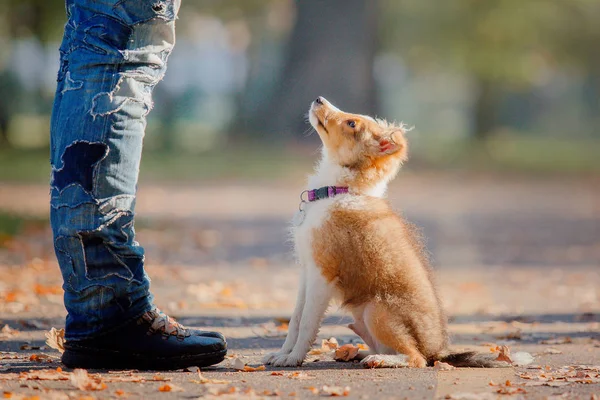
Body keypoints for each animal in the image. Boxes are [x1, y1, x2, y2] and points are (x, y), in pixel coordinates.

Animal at [264, 97, 504, 368]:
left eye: (352, 123)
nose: (319, 99)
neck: (340, 190)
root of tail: (438, 352)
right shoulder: (307, 270)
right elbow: (295, 319)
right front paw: (282, 354)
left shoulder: (322, 274)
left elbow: (306, 322)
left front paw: (293, 358)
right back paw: (357, 353)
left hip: (376, 310)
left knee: (416, 358)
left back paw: (379, 359)